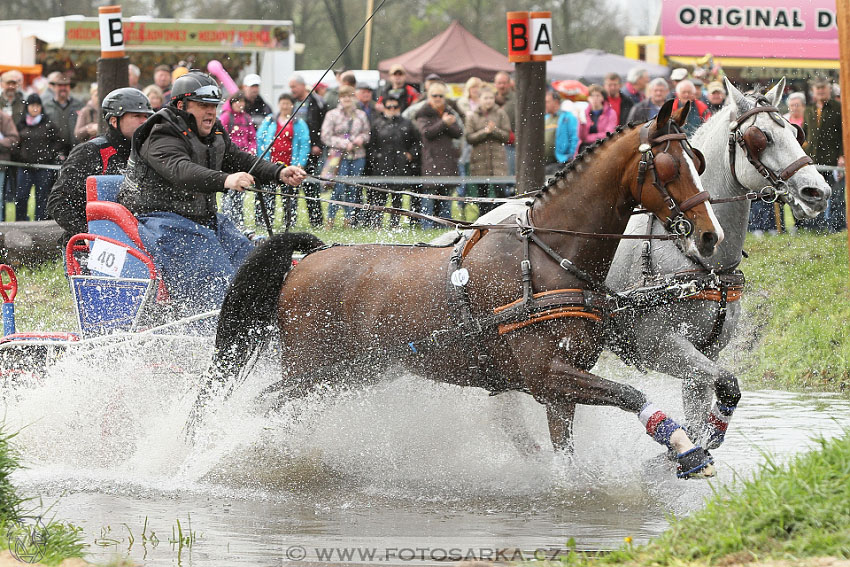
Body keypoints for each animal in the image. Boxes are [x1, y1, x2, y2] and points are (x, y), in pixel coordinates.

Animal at [192, 101, 724, 480]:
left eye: (699, 160)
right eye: (671, 167)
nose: (709, 236)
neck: (548, 258)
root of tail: (310, 258)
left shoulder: (559, 391)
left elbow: (568, 454)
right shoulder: (548, 375)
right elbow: (631, 393)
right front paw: (686, 449)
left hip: (349, 373)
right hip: (311, 370)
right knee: (261, 405)